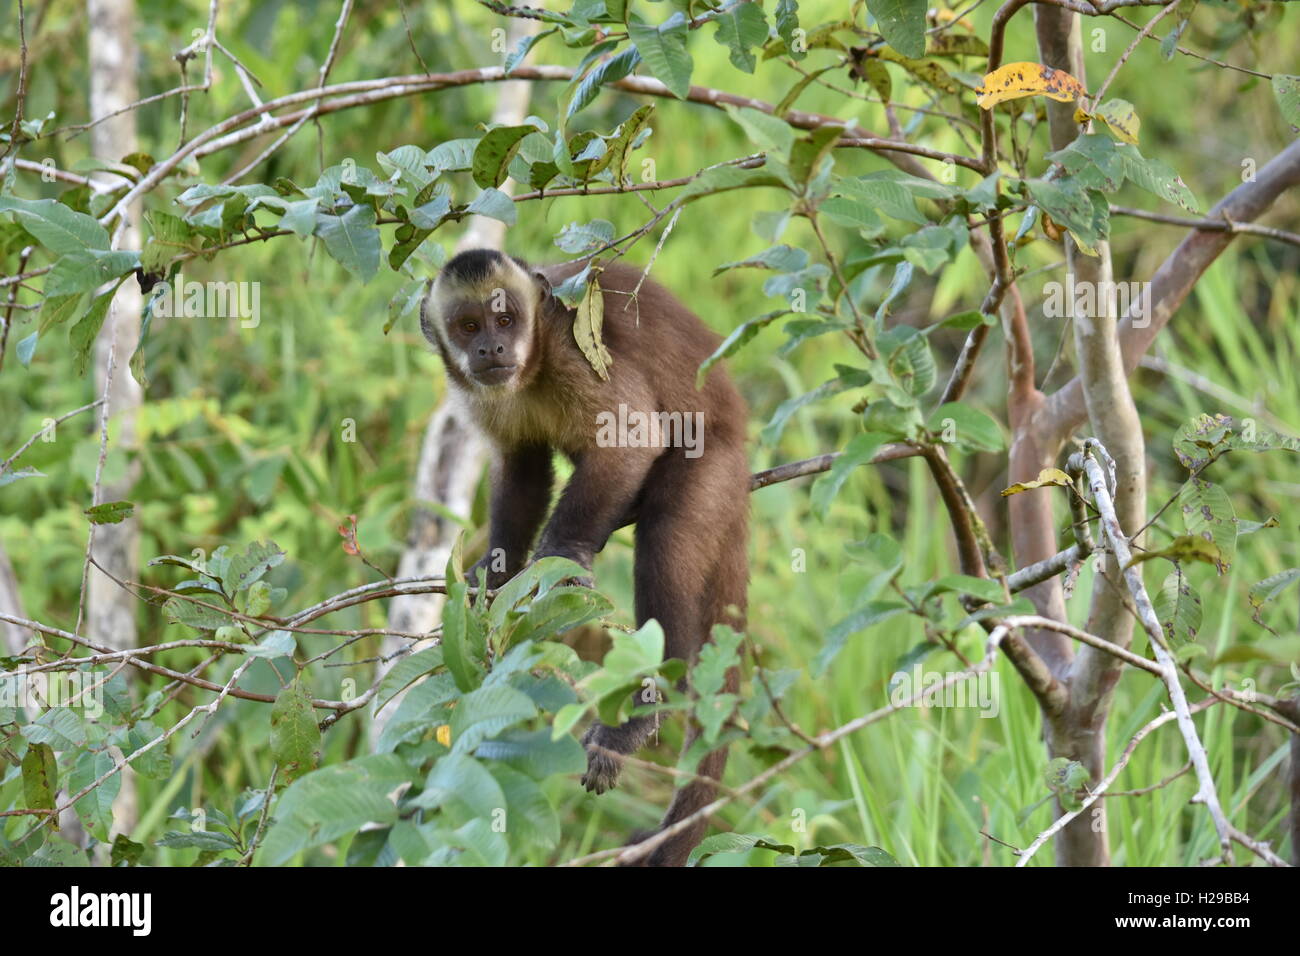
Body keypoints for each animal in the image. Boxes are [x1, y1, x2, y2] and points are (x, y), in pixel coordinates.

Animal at [421, 247, 748, 868]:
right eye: (469, 326)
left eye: (505, 321)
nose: (491, 350)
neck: (534, 364)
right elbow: (521, 468)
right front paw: (497, 573)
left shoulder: (576, 351)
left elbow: (632, 439)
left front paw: (565, 549)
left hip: (716, 465)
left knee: (666, 544)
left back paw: (642, 713)